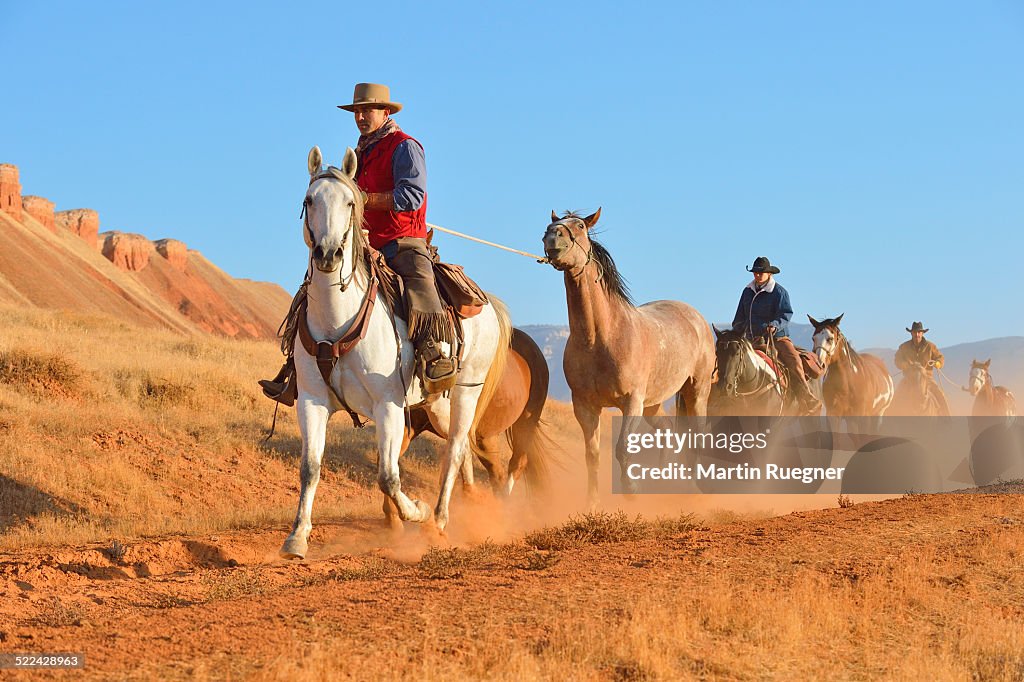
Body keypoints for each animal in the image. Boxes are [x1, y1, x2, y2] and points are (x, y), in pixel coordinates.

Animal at [282, 146, 509, 557]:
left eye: (349, 203)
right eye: (309, 200)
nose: (328, 254)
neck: (337, 319)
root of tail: (486, 301)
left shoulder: (388, 405)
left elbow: (389, 475)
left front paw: (416, 511)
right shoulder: (312, 401)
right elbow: (310, 468)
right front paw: (297, 537)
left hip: (467, 393)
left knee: (454, 450)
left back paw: (438, 521)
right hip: (435, 402)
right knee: (460, 451)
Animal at [540, 209, 716, 501]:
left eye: (579, 226)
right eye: (551, 225)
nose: (552, 237)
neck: (600, 338)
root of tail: (695, 317)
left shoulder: (631, 402)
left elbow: (622, 448)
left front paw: (631, 490)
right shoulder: (585, 406)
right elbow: (592, 455)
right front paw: (592, 503)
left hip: (696, 391)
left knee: (698, 435)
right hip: (653, 403)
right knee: (667, 429)